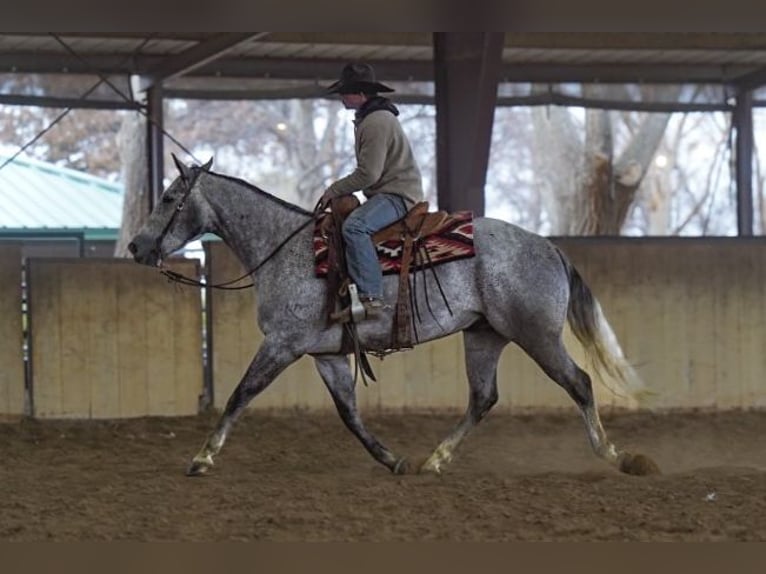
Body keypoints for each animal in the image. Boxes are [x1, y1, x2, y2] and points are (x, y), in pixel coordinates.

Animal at [130, 156, 660, 476]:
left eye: (170, 197)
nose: (136, 246)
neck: (286, 249)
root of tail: (549, 247)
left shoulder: (282, 344)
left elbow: (240, 395)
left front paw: (202, 457)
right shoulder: (324, 353)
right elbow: (349, 413)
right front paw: (391, 460)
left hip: (537, 335)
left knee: (579, 383)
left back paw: (616, 456)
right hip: (484, 335)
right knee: (483, 398)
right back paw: (435, 460)